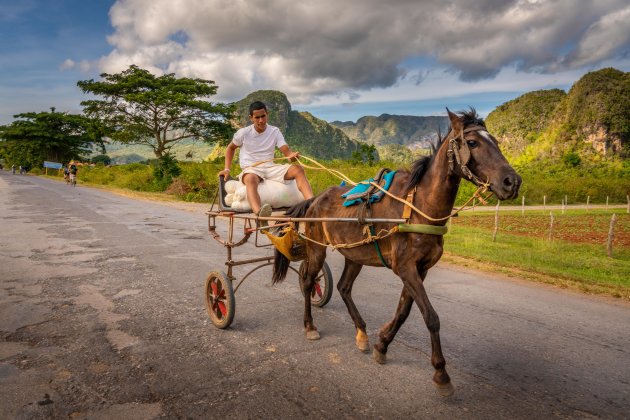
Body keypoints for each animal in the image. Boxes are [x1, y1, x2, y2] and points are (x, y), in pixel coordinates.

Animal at [272, 107, 524, 394]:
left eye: (496, 141)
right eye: (472, 142)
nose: (512, 182)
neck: (417, 207)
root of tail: (315, 199)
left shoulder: (419, 269)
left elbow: (404, 311)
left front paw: (382, 344)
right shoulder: (404, 267)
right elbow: (431, 317)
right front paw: (441, 373)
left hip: (354, 253)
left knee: (344, 287)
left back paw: (361, 332)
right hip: (316, 249)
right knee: (307, 281)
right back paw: (310, 325)